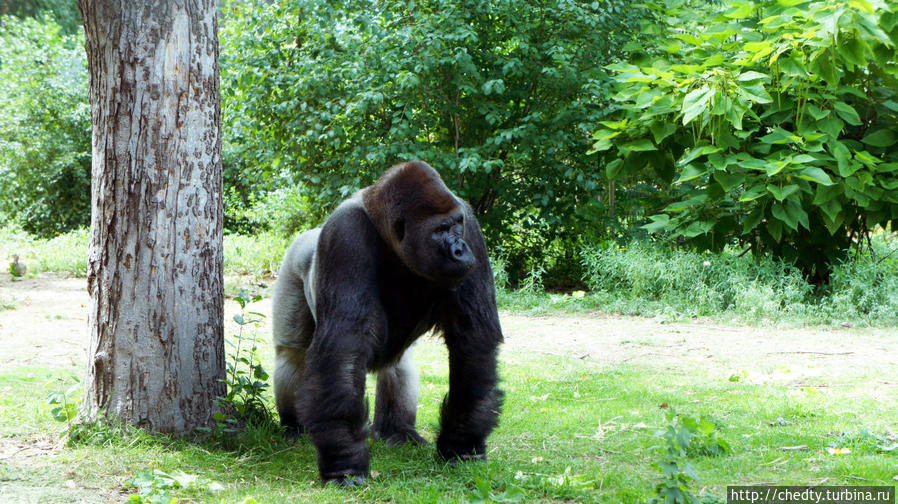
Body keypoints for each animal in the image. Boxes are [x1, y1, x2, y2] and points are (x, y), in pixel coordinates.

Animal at [270, 160, 500, 484]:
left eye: (456, 224)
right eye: (440, 230)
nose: (460, 249)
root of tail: (310, 234)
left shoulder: (472, 227)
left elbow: (473, 340)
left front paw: (462, 444)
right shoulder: (345, 234)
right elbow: (344, 347)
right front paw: (344, 460)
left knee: (398, 364)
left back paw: (397, 430)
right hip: (292, 262)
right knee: (292, 356)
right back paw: (293, 425)